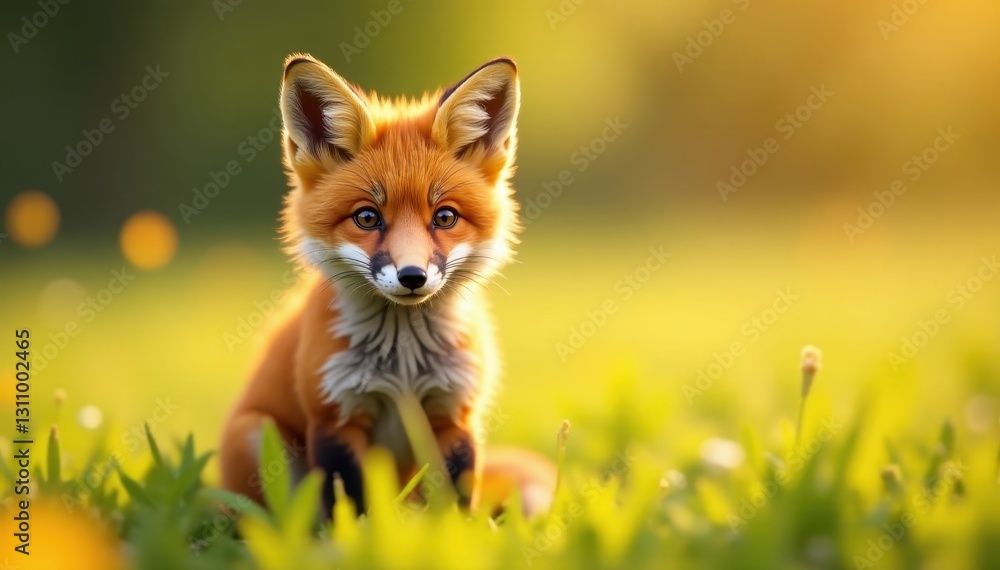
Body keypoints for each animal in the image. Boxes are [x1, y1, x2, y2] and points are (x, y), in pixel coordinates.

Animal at [219, 54, 555, 519]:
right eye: (367, 217)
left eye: (445, 217)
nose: (412, 276)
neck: (404, 369)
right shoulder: (335, 415)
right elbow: (353, 507)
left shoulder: (454, 413)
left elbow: (453, 505)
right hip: (257, 434)